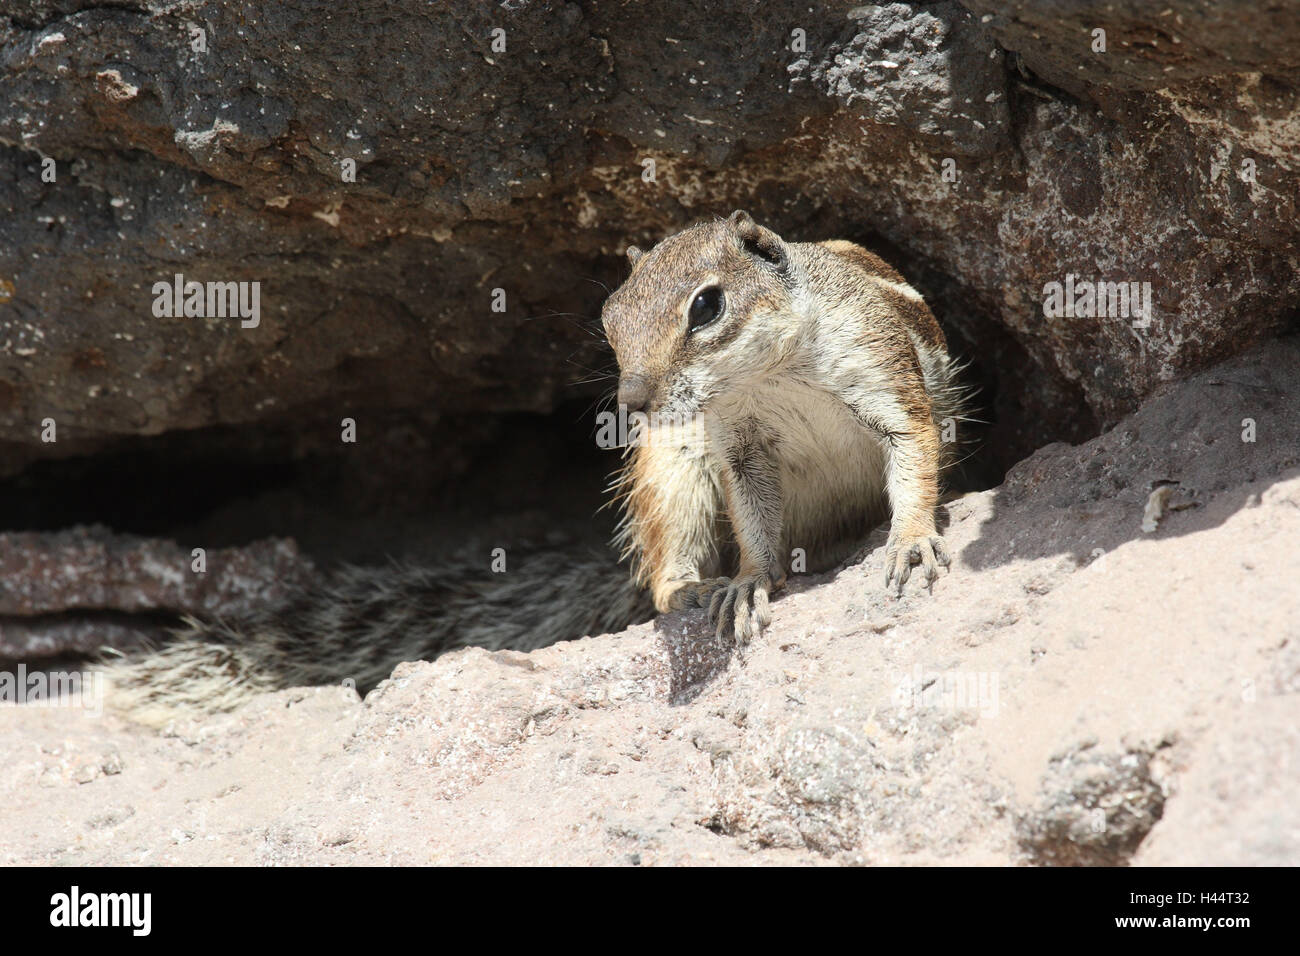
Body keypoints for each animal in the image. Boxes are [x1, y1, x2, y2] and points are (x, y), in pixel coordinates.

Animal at [104, 208, 967, 717]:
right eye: (610, 320)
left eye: (708, 305)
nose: (634, 400)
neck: (767, 375)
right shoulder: (736, 447)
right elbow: (753, 521)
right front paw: (749, 582)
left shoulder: (883, 373)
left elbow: (914, 452)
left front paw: (911, 540)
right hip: (673, 464)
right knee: (665, 561)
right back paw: (692, 588)